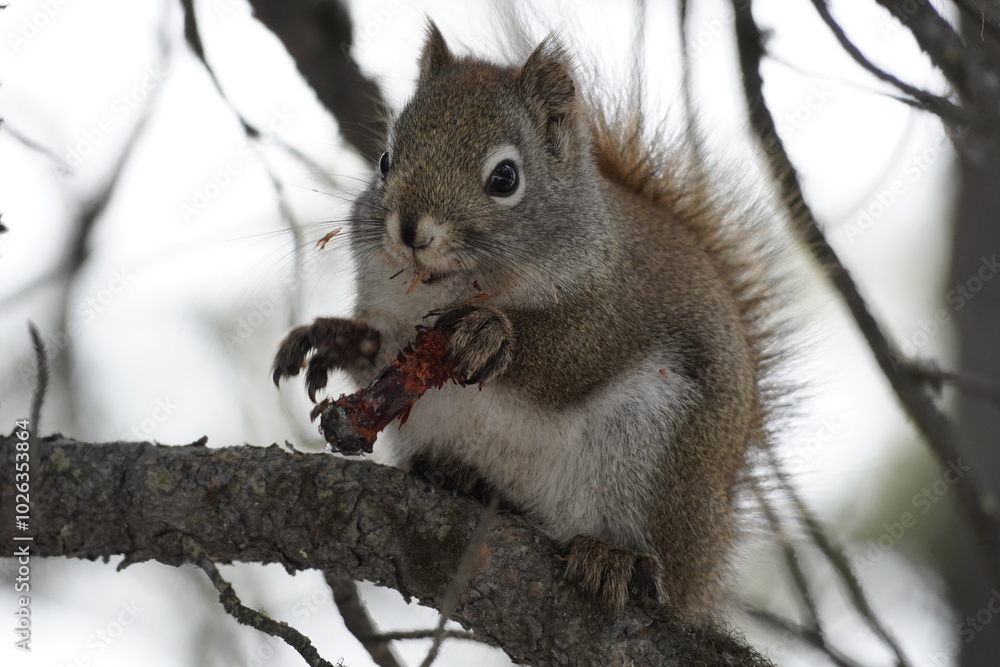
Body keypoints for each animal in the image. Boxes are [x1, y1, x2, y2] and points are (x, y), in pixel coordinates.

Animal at [273, 22, 783, 615]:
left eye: (505, 177)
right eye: (384, 160)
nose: (410, 229)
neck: (463, 287)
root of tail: (703, 568)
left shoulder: (615, 307)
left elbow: (571, 358)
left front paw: (494, 335)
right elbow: (382, 353)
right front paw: (334, 339)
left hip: (657, 459)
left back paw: (615, 557)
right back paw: (457, 475)